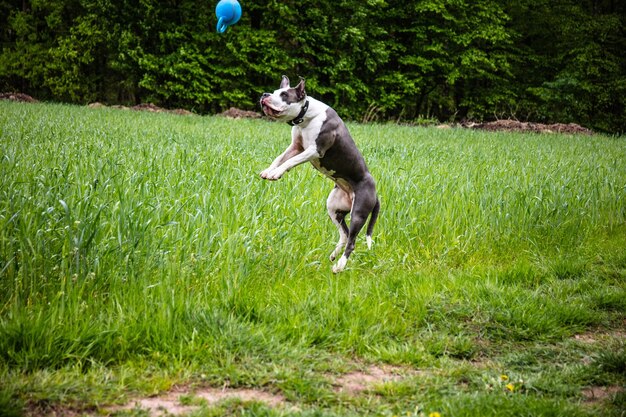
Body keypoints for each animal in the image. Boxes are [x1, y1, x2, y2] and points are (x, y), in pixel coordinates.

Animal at [258, 75, 378, 272]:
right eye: (275, 91)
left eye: (284, 95)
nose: (264, 94)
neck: (306, 115)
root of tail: (376, 193)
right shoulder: (296, 147)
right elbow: (280, 158)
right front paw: (269, 171)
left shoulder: (314, 150)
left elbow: (290, 162)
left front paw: (276, 174)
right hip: (334, 207)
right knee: (344, 234)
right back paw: (334, 256)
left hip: (358, 213)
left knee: (352, 241)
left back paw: (339, 266)